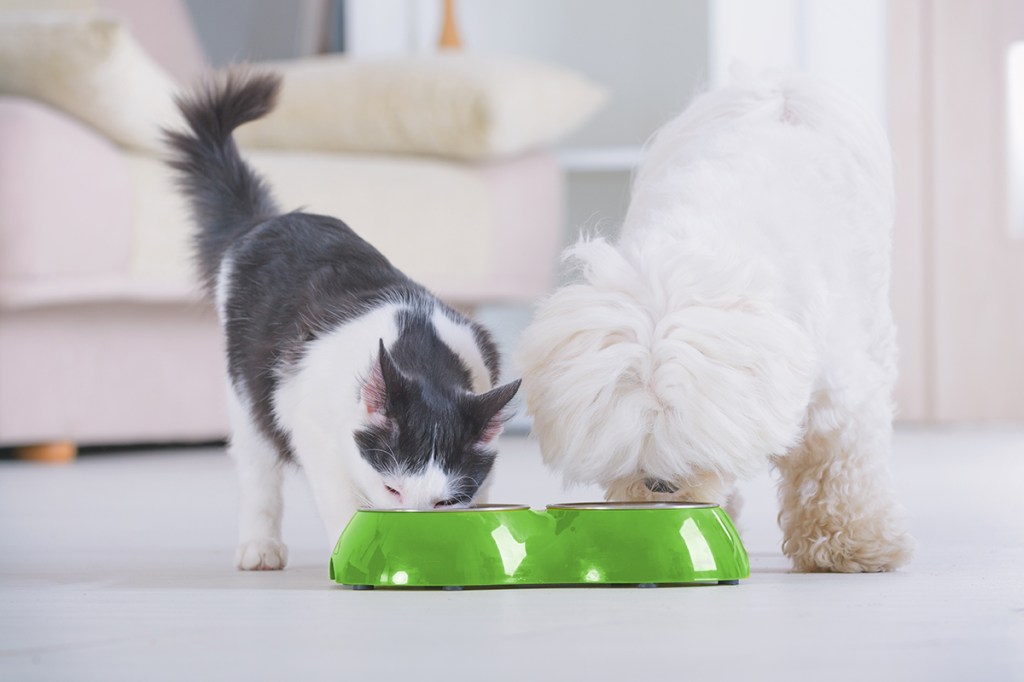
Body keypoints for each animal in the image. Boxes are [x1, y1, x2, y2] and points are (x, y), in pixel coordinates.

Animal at [168, 67, 524, 569]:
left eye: (444, 502)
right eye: (392, 490)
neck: (421, 352)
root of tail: (267, 221)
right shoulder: (312, 426)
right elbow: (342, 502)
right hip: (247, 390)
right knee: (257, 467)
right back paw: (259, 546)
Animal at [520, 73, 913, 573]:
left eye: (689, 443)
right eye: (628, 448)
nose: (659, 485)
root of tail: (780, 95)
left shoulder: (833, 389)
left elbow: (836, 463)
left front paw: (853, 546)